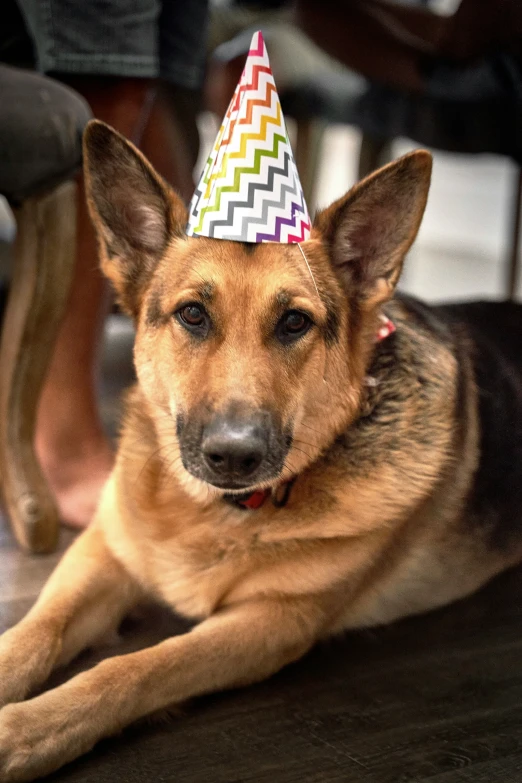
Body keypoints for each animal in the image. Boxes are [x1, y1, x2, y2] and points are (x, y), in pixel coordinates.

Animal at [1, 122, 520, 783]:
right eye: (192, 314)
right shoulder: (100, 554)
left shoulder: (271, 623)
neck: (209, 511)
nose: (234, 456)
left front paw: (26, 730)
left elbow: (135, 667)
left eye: (295, 323)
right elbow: (34, 631)